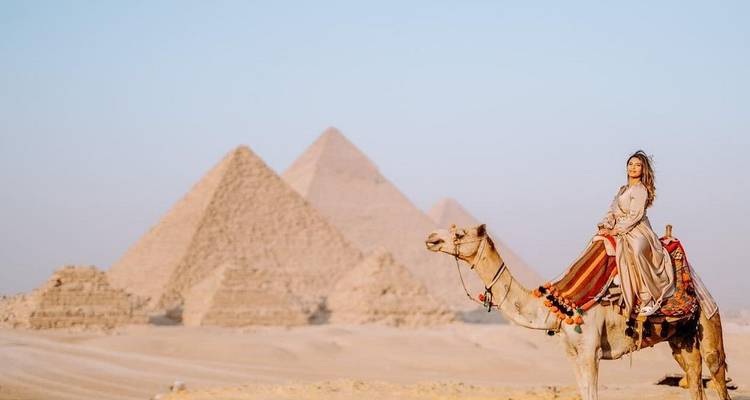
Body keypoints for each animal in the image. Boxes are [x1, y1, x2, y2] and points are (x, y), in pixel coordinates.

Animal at [425, 224, 730, 400]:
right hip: (680, 339)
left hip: (709, 321)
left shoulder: (590, 351)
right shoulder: (573, 353)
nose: (431, 238)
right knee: (694, 377)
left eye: (459, 233)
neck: (554, 307)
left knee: (716, 373)